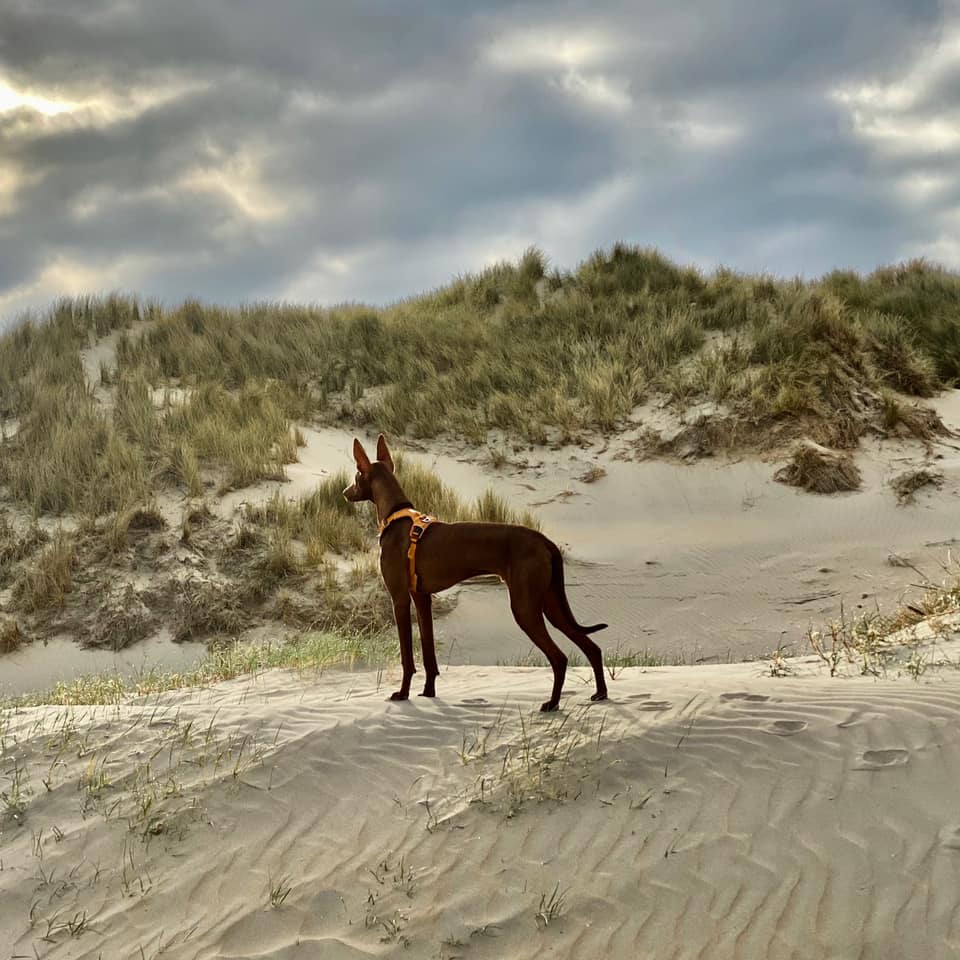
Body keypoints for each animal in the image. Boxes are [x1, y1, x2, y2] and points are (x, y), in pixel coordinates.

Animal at [342, 436, 604, 712]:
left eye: (356, 474)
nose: (344, 492)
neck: (396, 515)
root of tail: (544, 540)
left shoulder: (400, 599)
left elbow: (407, 658)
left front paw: (403, 694)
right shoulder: (422, 598)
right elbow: (429, 653)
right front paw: (428, 692)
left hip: (525, 607)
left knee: (560, 657)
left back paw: (552, 703)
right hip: (550, 603)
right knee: (592, 647)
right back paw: (600, 694)